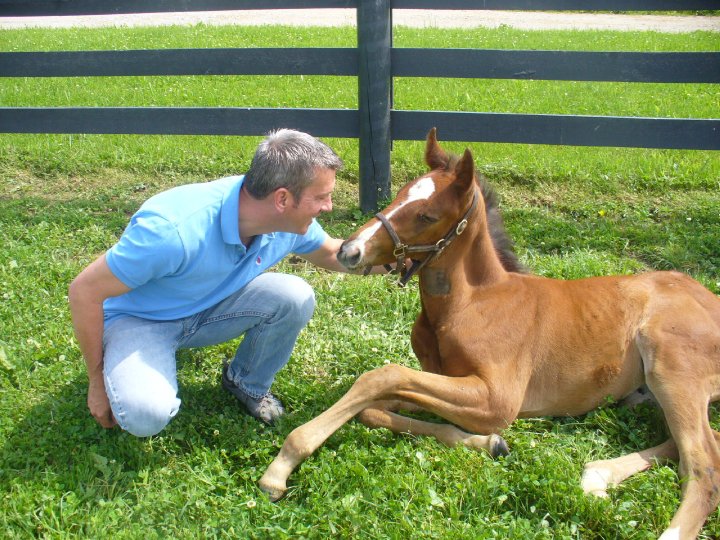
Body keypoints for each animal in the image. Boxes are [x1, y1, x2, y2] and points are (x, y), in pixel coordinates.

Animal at [260, 128, 720, 540]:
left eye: (427, 215)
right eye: (399, 193)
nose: (349, 251)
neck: (474, 304)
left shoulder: (498, 398)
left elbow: (381, 375)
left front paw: (283, 463)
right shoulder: (442, 379)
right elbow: (373, 407)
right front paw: (489, 444)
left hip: (675, 370)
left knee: (703, 463)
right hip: (657, 392)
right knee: (692, 442)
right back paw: (596, 476)